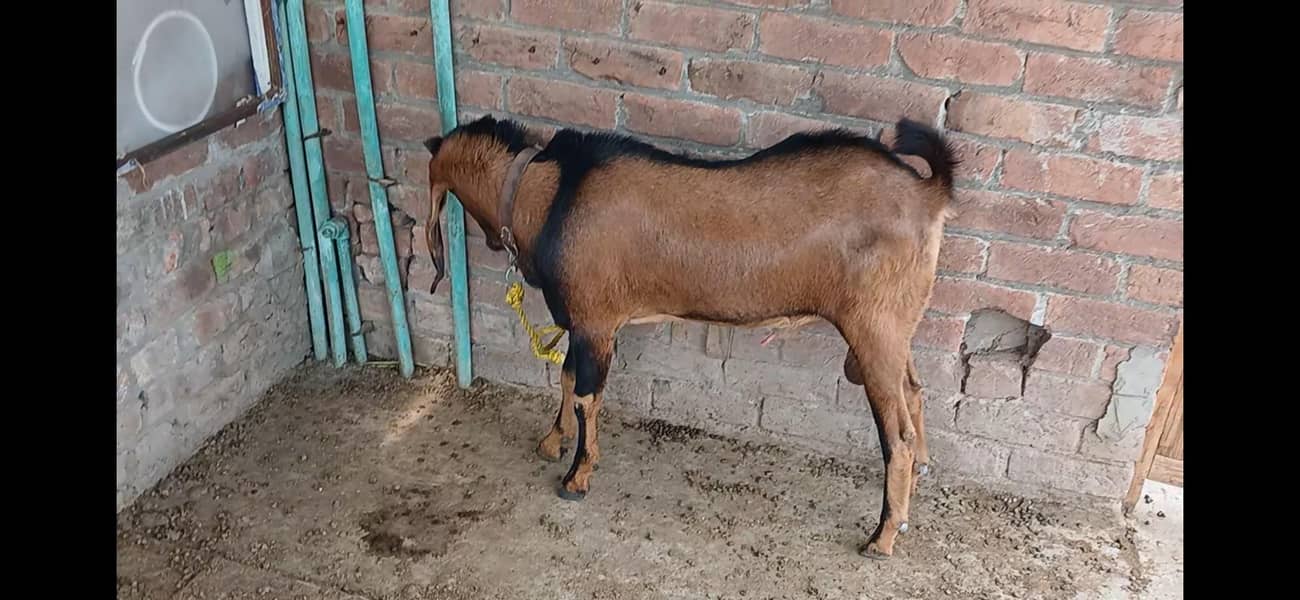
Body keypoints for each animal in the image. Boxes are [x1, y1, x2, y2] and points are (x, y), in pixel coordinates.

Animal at [422, 115, 957, 559]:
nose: (491, 243)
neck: (551, 192)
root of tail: (929, 192)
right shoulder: (583, 323)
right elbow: (567, 379)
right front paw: (552, 442)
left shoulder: (594, 319)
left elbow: (586, 395)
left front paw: (576, 477)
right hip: (895, 325)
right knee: (915, 392)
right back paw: (915, 491)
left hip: (873, 326)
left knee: (898, 434)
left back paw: (882, 537)